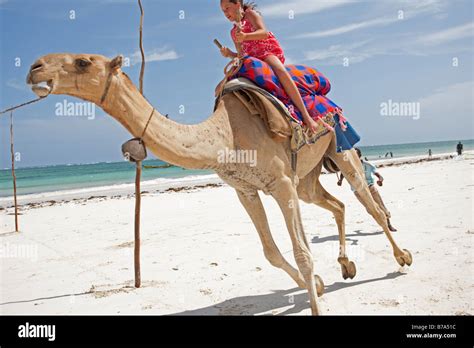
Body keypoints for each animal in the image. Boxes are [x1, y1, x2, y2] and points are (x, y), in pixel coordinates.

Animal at [26, 53, 412, 316]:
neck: (226, 134)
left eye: (82, 62)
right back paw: (346, 265)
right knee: (337, 203)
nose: (35, 67)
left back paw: (402, 257)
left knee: (368, 202)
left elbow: (302, 253)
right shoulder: (246, 190)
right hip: (306, 176)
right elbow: (271, 252)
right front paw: (315, 284)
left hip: (340, 147)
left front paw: (314, 294)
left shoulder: (280, 183)